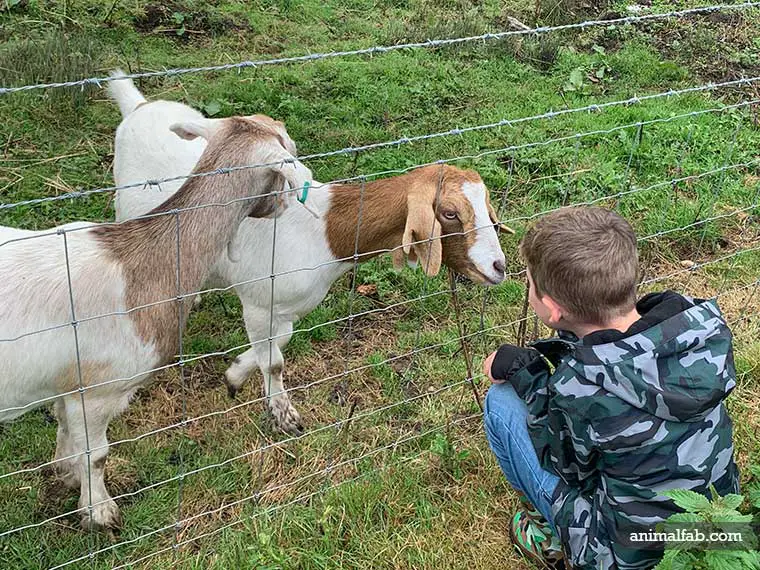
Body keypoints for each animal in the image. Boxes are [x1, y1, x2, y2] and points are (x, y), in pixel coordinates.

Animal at [0, 111, 314, 528]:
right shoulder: (99, 389)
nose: (283, 206)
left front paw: (65, 474)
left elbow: (66, 431)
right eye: (287, 147)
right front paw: (99, 512)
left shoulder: (68, 385)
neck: (147, 261)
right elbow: (96, 455)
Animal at [108, 73, 510, 432]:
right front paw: (283, 415)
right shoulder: (259, 302)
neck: (324, 233)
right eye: (450, 213)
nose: (499, 267)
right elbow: (274, 362)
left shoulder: (286, 308)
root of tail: (139, 106)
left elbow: (280, 341)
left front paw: (235, 373)